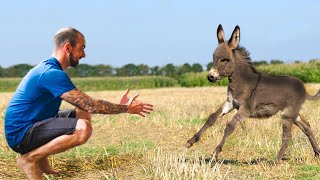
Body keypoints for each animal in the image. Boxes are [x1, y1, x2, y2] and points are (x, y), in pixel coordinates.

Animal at [185, 24, 320, 162]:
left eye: (224, 60)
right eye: (213, 58)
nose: (210, 77)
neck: (241, 81)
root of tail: (304, 89)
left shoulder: (245, 109)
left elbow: (229, 127)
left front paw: (215, 153)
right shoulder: (230, 103)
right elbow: (211, 118)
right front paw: (190, 141)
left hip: (288, 114)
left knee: (287, 137)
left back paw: (275, 161)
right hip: (293, 114)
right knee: (307, 127)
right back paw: (317, 153)